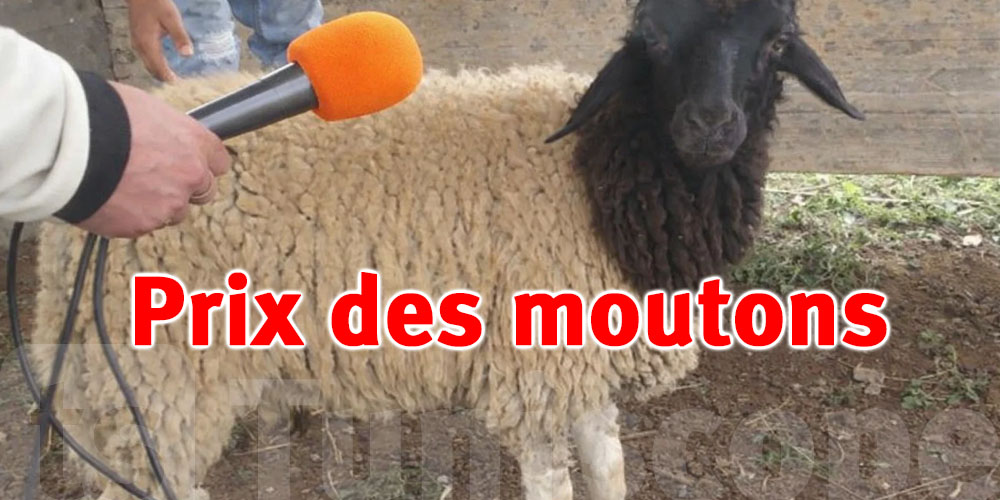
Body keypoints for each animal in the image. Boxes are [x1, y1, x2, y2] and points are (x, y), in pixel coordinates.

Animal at [27, 1, 862, 499]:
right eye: (654, 39)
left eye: (777, 43)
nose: (709, 126)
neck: (596, 175)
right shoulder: (535, 369)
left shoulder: (584, 357)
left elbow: (609, 468)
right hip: (155, 377)